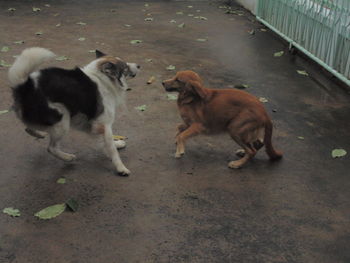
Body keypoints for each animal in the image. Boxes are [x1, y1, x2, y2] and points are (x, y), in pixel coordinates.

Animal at [8, 47, 139, 176]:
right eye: (125, 67)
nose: (138, 65)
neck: (103, 80)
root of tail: (25, 87)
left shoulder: (93, 123)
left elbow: (105, 141)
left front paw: (117, 144)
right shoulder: (104, 123)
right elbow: (111, 148)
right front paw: (120, 167)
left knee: (28, 128)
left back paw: (39, 134)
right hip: (62, 120)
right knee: (51, 148)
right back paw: (67, 157)